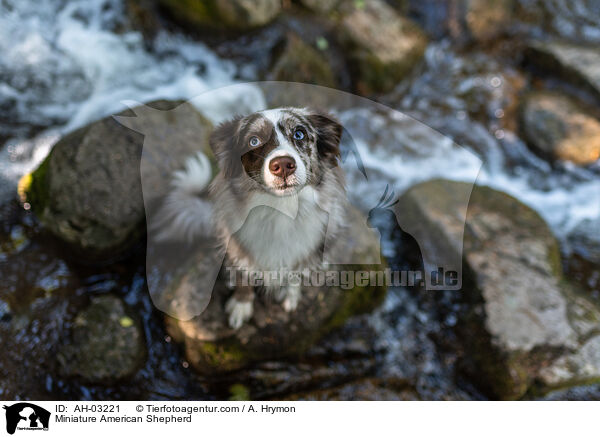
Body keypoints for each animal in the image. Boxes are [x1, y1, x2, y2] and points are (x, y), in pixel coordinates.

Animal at [152, 108, 350, 328]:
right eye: (253, 141)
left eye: (299, 134)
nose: (283, 165)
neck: (281, 211)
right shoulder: (237, 249)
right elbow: (243, 276)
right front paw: (241, 305)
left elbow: (297, 272)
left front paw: (291, 293)